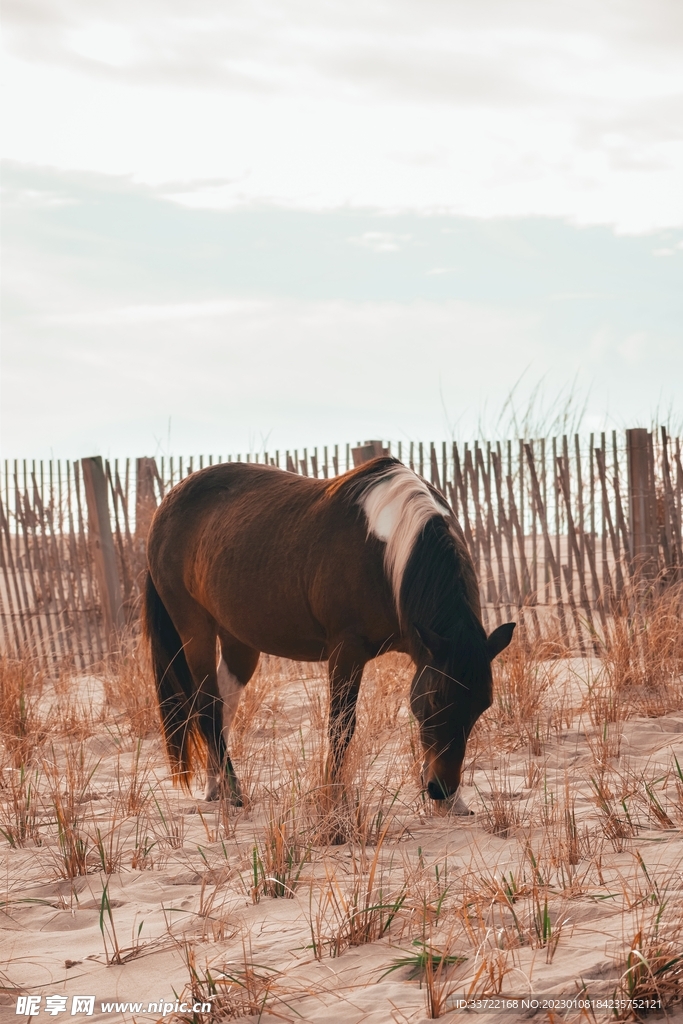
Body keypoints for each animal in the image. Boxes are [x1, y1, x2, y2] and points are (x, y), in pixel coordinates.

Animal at [142, 456, 514, 808]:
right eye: (436, 699)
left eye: (482, 704)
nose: (442, 790)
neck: (389, 550)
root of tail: (166, 506)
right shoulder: (346, 650)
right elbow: (341, 726)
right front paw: (333, 799)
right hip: (196, 629)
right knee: (206, 706)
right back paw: (234, 793)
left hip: (238, 640)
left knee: (222, 706)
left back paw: (215, 786)